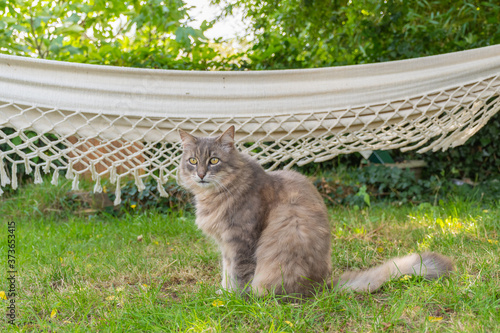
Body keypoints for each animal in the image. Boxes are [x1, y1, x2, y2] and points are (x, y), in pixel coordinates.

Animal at [177, 125, 454, 296]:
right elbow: (226, 274)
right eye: (193, 161)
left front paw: (233, 300)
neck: (216, 195)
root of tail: (321, 287)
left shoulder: (240, 242)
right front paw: (223, 294)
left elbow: (238, 276)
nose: (200, 174)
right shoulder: (226, 247)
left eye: (214, 161)